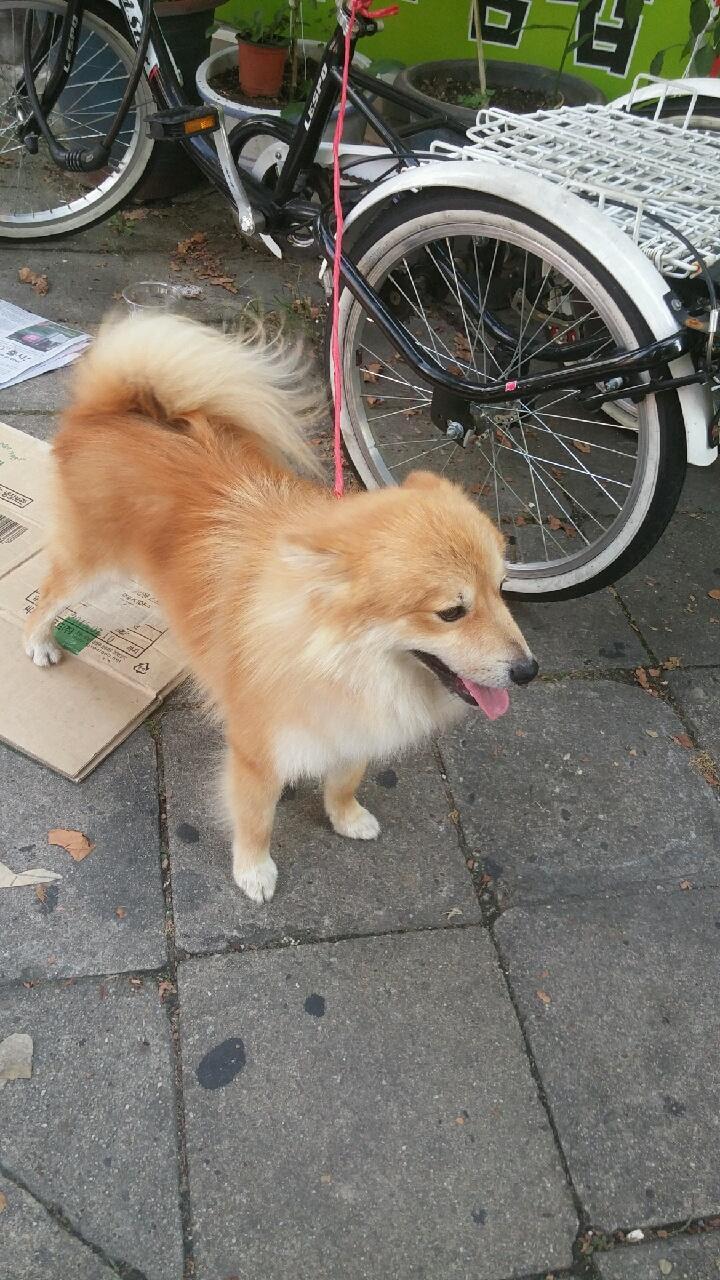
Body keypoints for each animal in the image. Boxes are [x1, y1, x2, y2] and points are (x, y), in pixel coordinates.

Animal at [24, 313, 538, 903]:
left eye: (502, 589)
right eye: (452, 612)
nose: (529, 670)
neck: (339, 660)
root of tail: (108, 411)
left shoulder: (352, 727)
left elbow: (345, 779)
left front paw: (346, 816)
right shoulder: (257, 753)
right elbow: (256, 819)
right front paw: (253, 870)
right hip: (91, 566)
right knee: (44, 599)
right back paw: (38, 644)